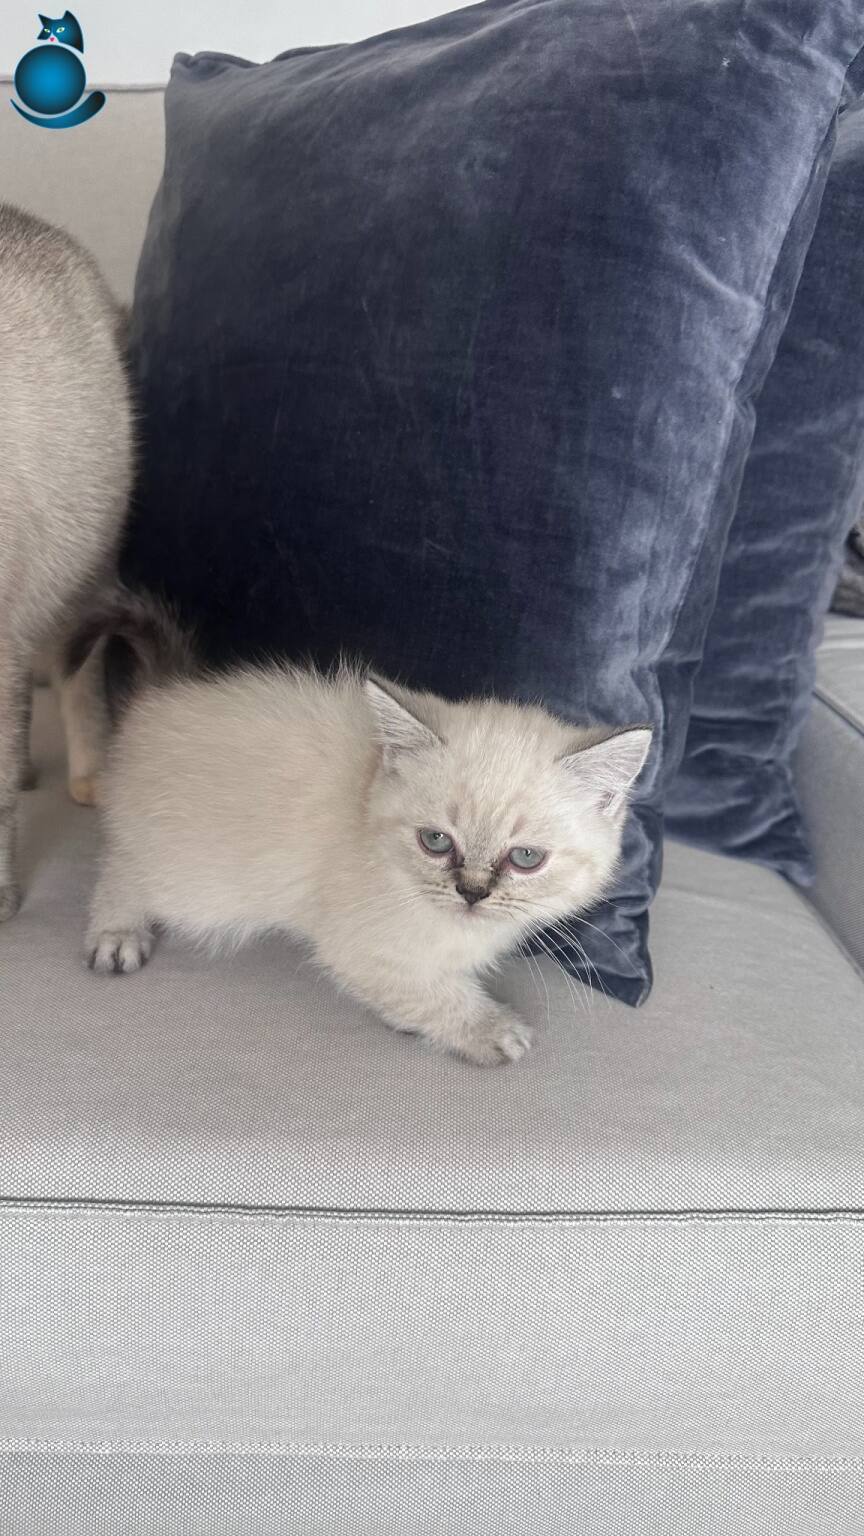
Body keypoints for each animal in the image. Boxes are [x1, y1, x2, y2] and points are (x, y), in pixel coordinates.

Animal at [81, 597, 651, 1065]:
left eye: (526, 858)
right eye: (436, 842)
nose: (471, 893)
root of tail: (156, 699)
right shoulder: (358, 947)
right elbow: (430, 994)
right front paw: (491, 1031)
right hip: (198, 879)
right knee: (121, 864)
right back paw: (116, 934)